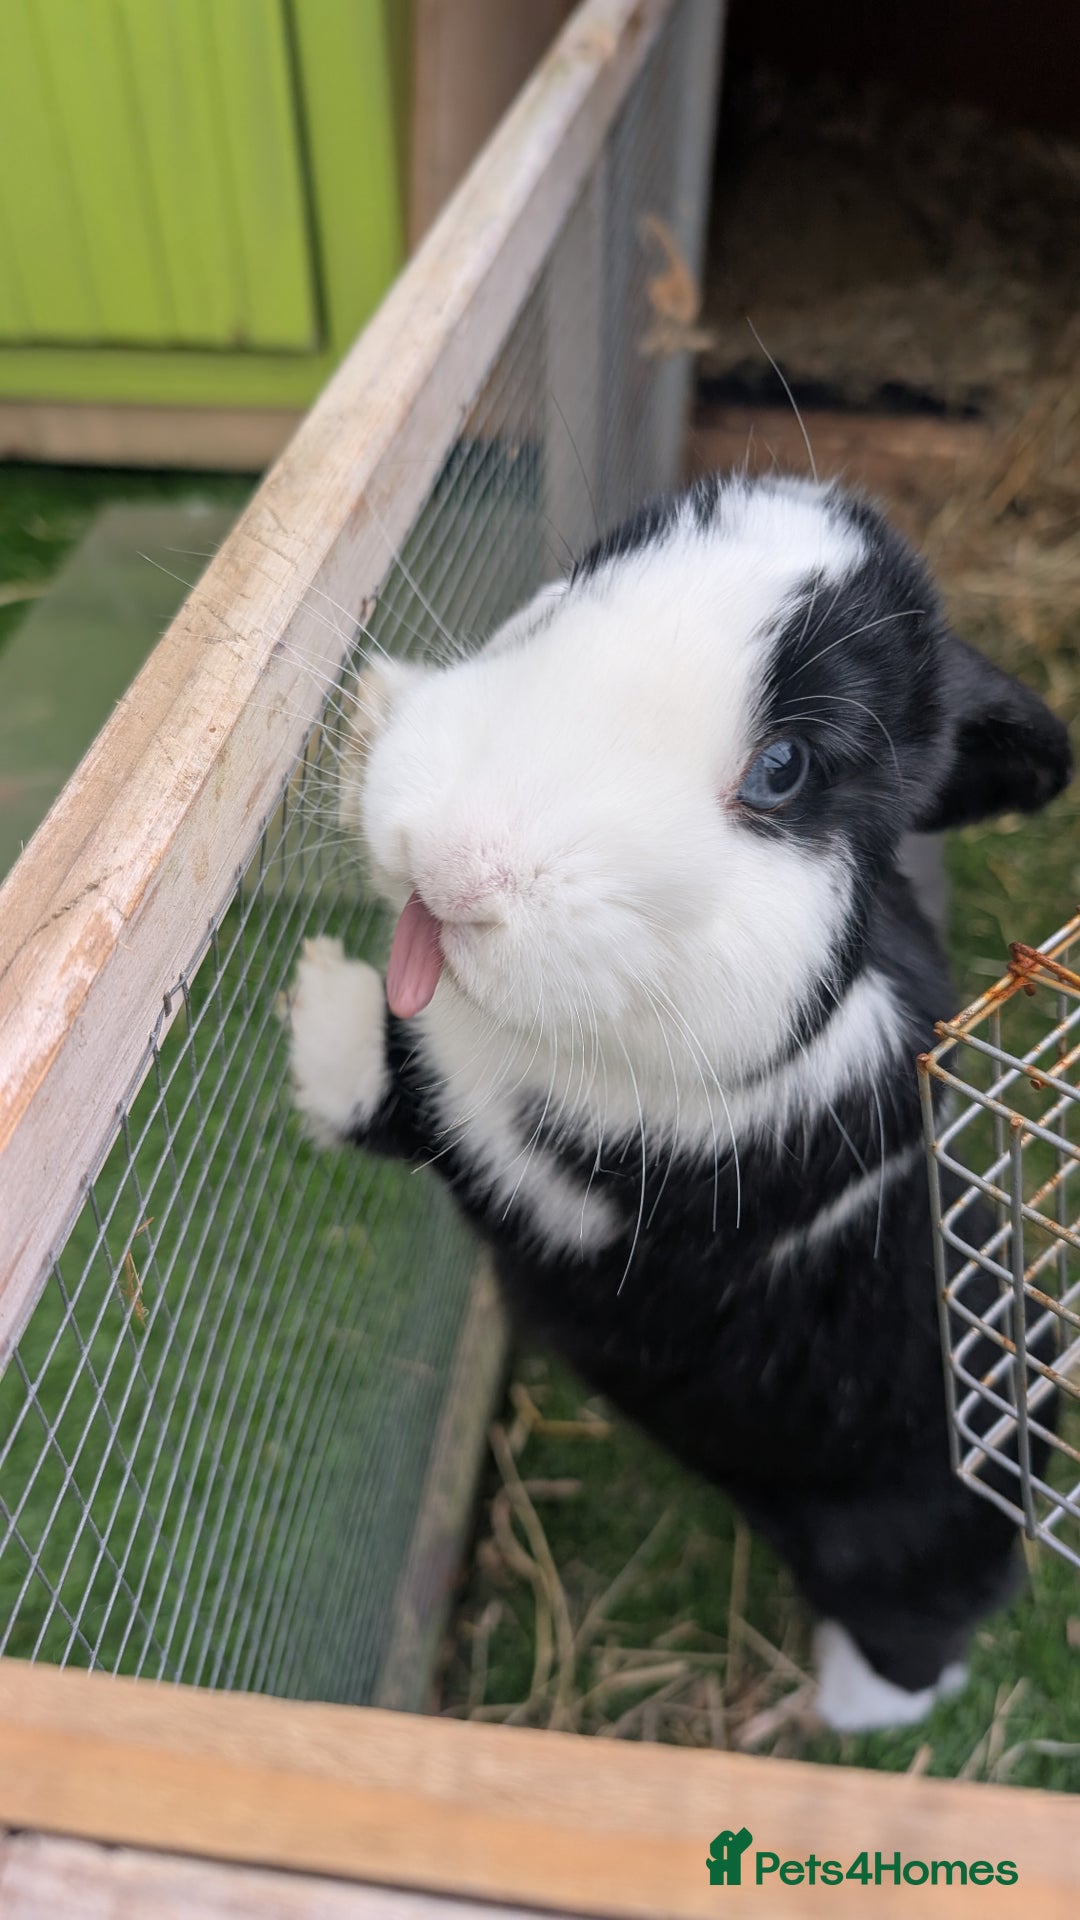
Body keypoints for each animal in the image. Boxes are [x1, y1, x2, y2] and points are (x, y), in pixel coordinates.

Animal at [288, 472, 1071, 1732]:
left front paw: (317, 1001)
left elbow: (417, 1103)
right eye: (563, 599)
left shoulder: (542, 1173)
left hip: (897, 1565)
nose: (453, 865)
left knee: (935, 1635)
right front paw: (375, 703)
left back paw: (837, 1714)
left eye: (783, 769)